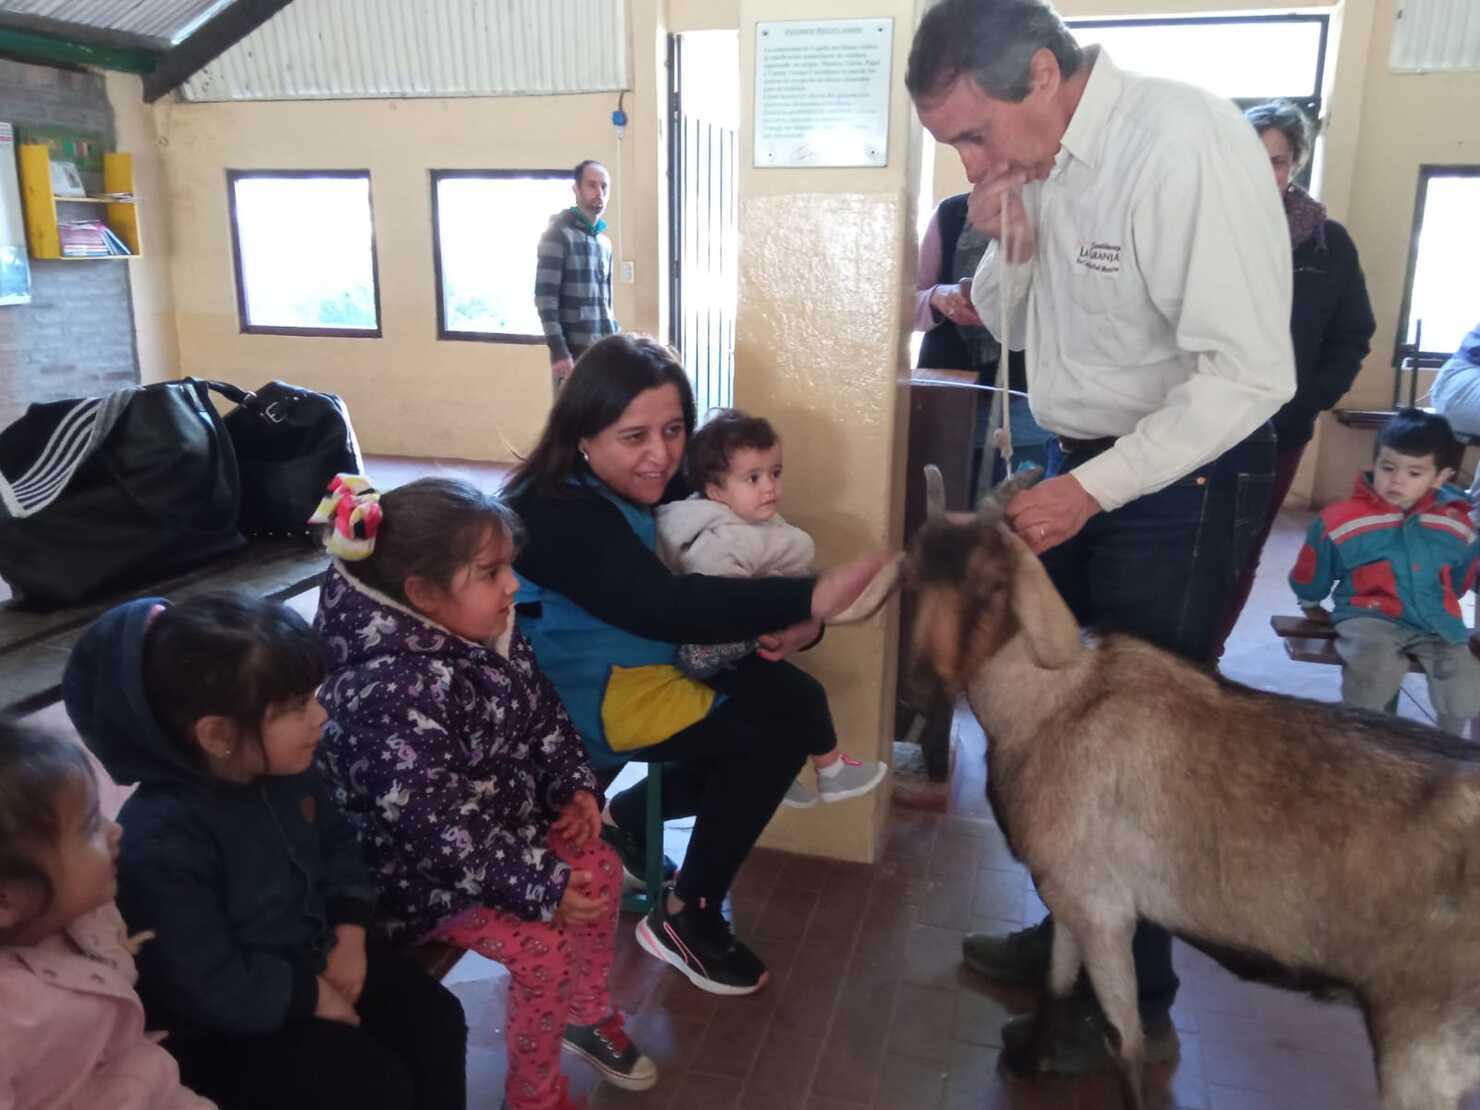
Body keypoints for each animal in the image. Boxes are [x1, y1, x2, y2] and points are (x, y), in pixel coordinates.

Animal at [840, 470, 1480, 1110]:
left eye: (994, 584)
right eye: (912, 579)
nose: (920, 689)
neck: (1054, 706)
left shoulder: (1104, 909)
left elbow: (1126, 1043)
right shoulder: (1069, 895)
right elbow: (1055, 983)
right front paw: (1027, 1060)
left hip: (1424, 1041)